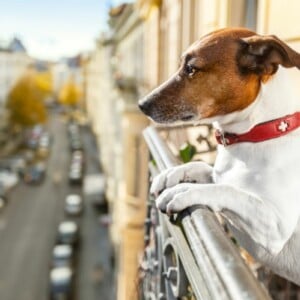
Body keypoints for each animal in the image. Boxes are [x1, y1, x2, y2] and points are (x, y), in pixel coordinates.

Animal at [139, 28, 300, 286]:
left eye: (191, 69)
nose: (141, 104)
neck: (257, 133)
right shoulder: (219, 173)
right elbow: (205, 169)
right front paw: (171, 174)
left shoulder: (276, 226)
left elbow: (229, 191)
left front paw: (184, 191)